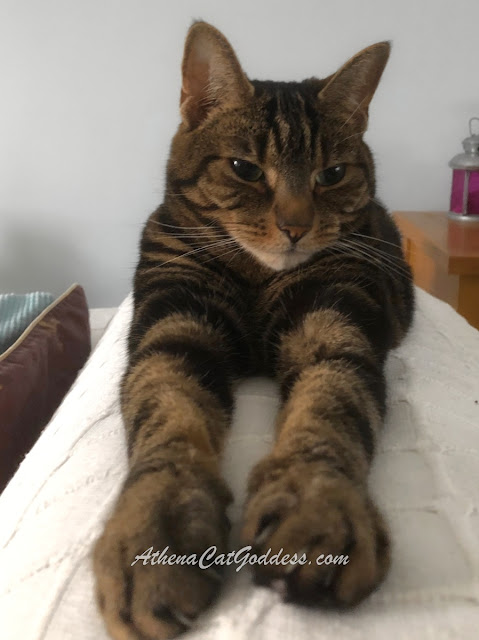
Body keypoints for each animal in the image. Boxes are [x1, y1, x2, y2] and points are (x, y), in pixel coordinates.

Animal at [94, 20, 416, 640]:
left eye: (332, 175)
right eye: (245, 169)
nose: (295, 225)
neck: (256, 277)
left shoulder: (335, 321)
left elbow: (331, 404)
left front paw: (321, 508)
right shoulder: (173, 326)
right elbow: (167, 410)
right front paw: (155, 526)